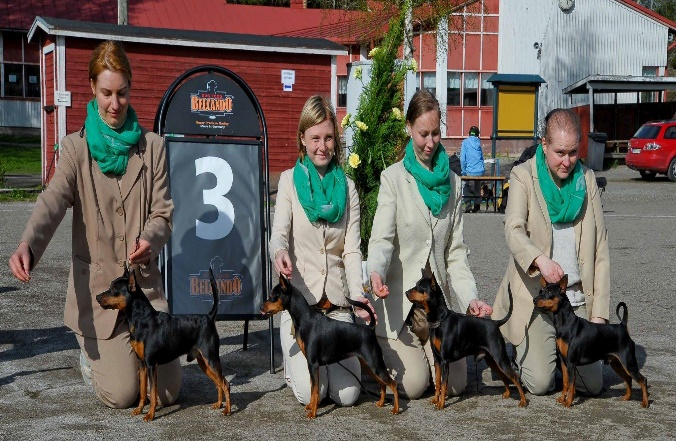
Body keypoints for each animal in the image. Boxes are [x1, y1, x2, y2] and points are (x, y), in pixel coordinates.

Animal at [93, 264, 232, 420]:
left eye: (114, 289)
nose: (97, 297)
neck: (142, 319)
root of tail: (208, 317)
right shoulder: (142, 363)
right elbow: (143, 390)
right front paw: (139, 409)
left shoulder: (151, 364)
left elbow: (153, 392)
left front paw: (150, 414)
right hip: (203, 362)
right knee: (219, 383)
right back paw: (219, 404)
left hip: (211, 359)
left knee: (225, 384)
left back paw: (227, 410)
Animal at [260, 276, 398, 418]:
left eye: (273, 295)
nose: (261, 307)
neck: (305, 319)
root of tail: (370, 328)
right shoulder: (311, 366)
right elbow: (313, 388)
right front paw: (310, 406)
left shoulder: (313, 364)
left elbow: (315, 390)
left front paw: (313, 412)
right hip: (369, 365)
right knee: (382, 383)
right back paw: (381, 403)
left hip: (375, 363)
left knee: (393, 384)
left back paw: (396, 409)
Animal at [404, 268, 524, 410]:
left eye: (420, 287)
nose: (406, 292)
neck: (440, 321)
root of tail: (495, 323)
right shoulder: (437, 360)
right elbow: (438, 382)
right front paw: (435, 399)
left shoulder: (444, 361)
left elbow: (444, 384)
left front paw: (441, 404)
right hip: (492, 360)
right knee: (504, 376)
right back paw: (507, 393)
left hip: (500, 357)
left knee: (514, 377)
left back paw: (523, 400)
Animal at [532, 276, 648, 408]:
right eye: (541, 291)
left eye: (550, 293)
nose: (534, 300)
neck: (565, 324)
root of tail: (622, 326)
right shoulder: (563, 361)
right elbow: (566, 383)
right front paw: (562, 399)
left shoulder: (571, 363)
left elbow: (571, 385)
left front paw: (568, 402)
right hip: (616, 363)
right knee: (628, 378)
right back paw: (627, 397)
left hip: (628, 362)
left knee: (642, 380)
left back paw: (645, 403)